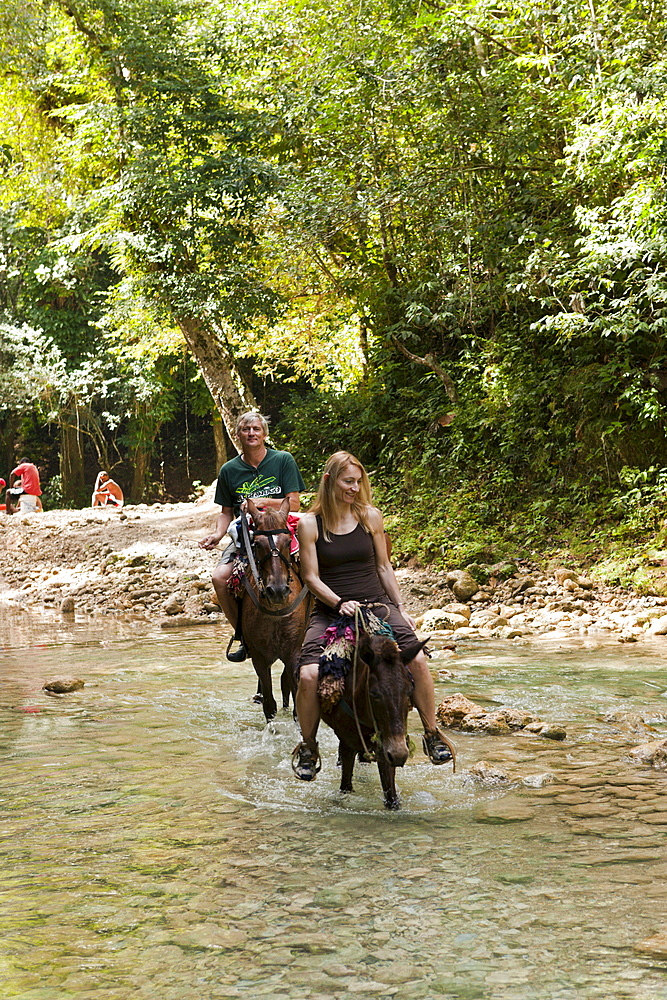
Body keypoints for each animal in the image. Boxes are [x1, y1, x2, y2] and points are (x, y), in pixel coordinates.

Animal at [241, 498, 312, 720]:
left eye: (288, 541)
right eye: (256, 544)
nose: (278, 591)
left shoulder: (293, 652)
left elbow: (299, 707)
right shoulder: (259, 658)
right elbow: (269, 705)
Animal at [320, 636, 426, 808]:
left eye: (410, 690)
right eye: (374, 693)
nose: (400, 754)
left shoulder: (384, 748)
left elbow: (391, 797)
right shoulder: (348, 744)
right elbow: (345, 787)